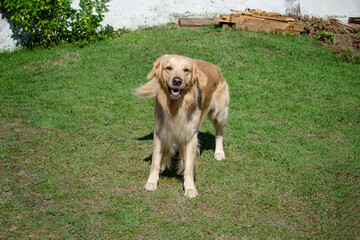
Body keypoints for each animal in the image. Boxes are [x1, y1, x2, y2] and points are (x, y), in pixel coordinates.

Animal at [136, 54, 229, 199]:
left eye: (186, 70)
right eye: (168, 68)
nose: (177, 81)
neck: (175, 106)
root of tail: (216, 67)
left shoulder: (190, 137)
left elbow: (189, 168)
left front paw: (190, 188)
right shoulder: (160, 133)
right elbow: (155, 163)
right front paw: (151, 182)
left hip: (219, 114)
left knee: (219, 134)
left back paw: (219, 153)